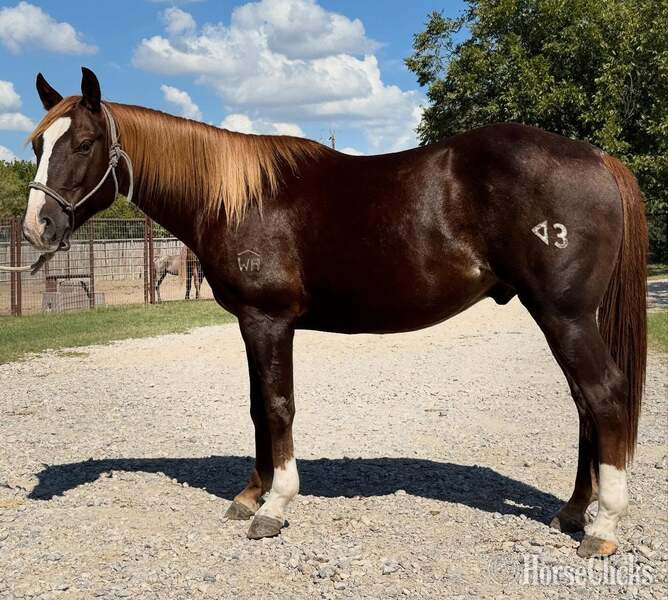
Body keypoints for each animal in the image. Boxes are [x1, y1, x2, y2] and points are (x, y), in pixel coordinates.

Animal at [21, 68, 647, 558]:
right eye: (36, 146)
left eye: (82, 144)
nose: (36, 229)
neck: (239, 198)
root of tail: (598, 158)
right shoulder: (251, 323)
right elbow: (258, 407)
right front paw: (249, 493)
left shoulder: (269, 320)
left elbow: (278, 407)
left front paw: (273, 506)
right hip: (562, 319)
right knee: (585, 405)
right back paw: (573, 512)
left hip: (564, 315)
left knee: (604, 396)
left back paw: (604, 526)